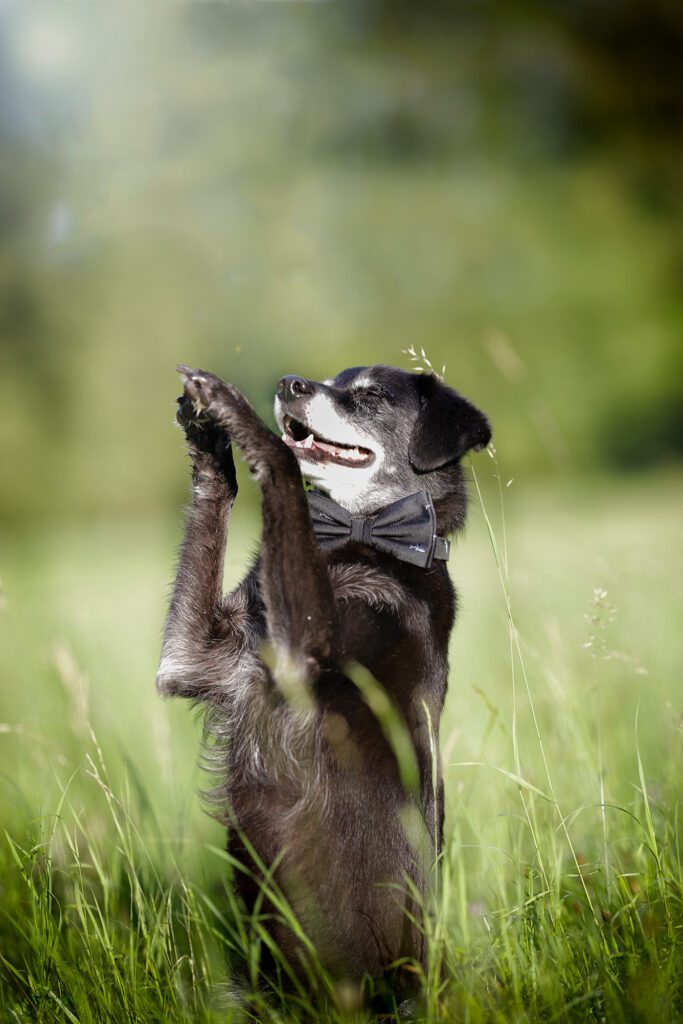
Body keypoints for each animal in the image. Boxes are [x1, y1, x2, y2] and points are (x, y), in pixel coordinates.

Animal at [157, 364, 489, 995]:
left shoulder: (298, 658)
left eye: (370, 395)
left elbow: (285, 471)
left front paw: (242, 421)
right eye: (333, 378)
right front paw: (210, 444)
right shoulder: (194, 658)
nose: (290, 383)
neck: (363, 539)